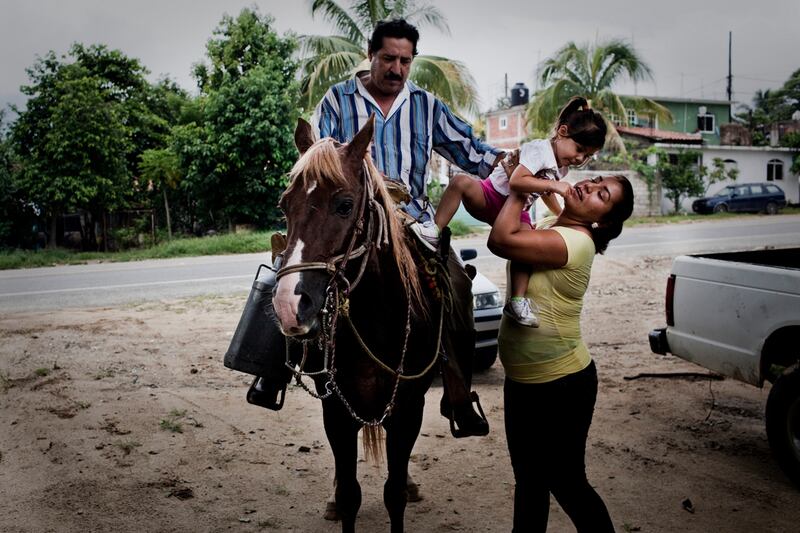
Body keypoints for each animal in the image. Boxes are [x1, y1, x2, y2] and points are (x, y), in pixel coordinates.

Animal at [274, 117, 446, 532]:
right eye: (285, 205)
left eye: (345, 205)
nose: (289, 304)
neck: (376, 322)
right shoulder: (336, 412)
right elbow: (351, 494)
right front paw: (340, 500)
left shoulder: (407, 413)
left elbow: (394, 494)